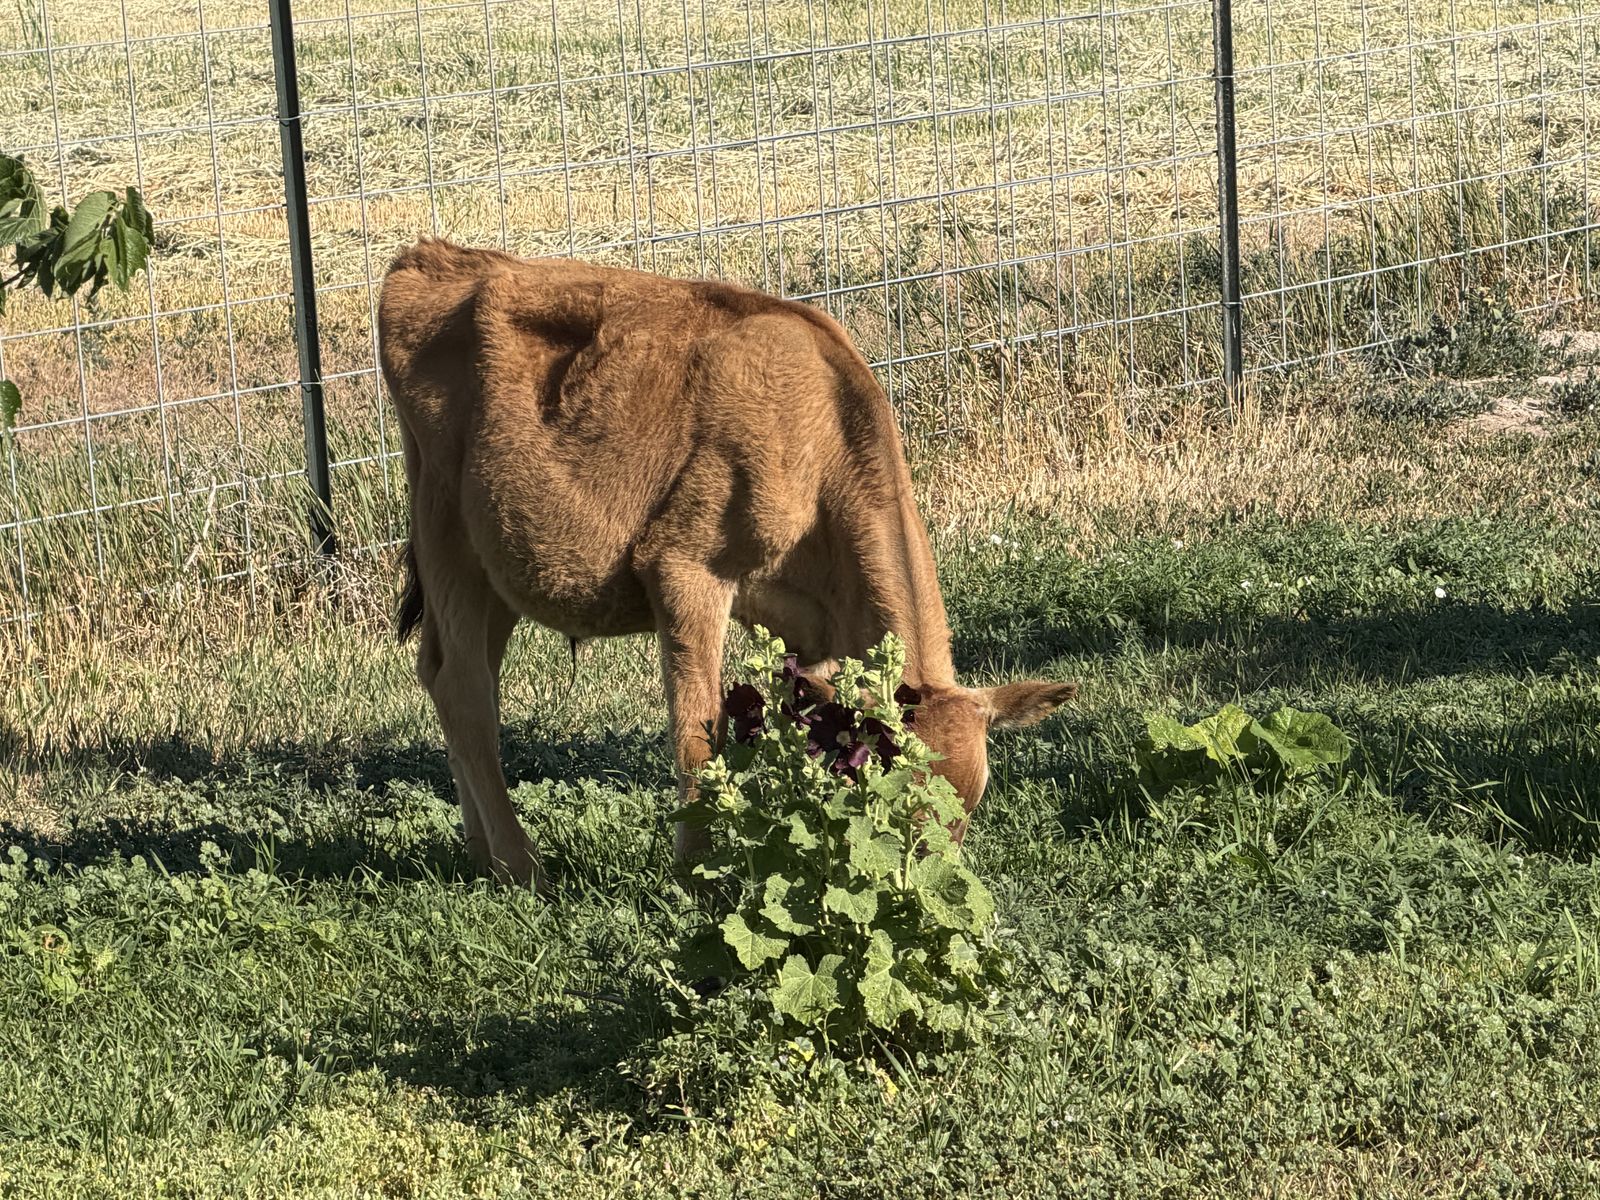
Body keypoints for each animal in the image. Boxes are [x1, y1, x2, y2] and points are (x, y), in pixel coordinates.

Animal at [377, 237, 1075, 890]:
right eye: (892, 793)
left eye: (970, 803)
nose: (920, 883)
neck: (818, 437)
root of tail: (429, 258)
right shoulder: (685, 570)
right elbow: (697, 735)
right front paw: (698, 876)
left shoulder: (804, 630)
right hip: (447, 534)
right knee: (464, 688)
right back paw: (522, 867)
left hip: (494, 567)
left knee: (450, 673)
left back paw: (482, 854)